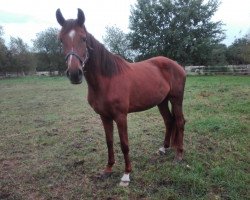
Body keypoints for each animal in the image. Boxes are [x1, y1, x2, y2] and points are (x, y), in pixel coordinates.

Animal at [56, 7, 186, 186]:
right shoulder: (104, 116)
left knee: (180, 121)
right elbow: (109, 142)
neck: (107, 80)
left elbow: (124, 144)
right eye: (61, 40)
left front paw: (126, 175)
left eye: (83, 38)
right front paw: (108, 169)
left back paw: (179, 155)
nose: (75, 74)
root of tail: (177, 65)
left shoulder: (121, 116)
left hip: (176, 99)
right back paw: (164, 148)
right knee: (169, 121)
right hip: (162, 101)